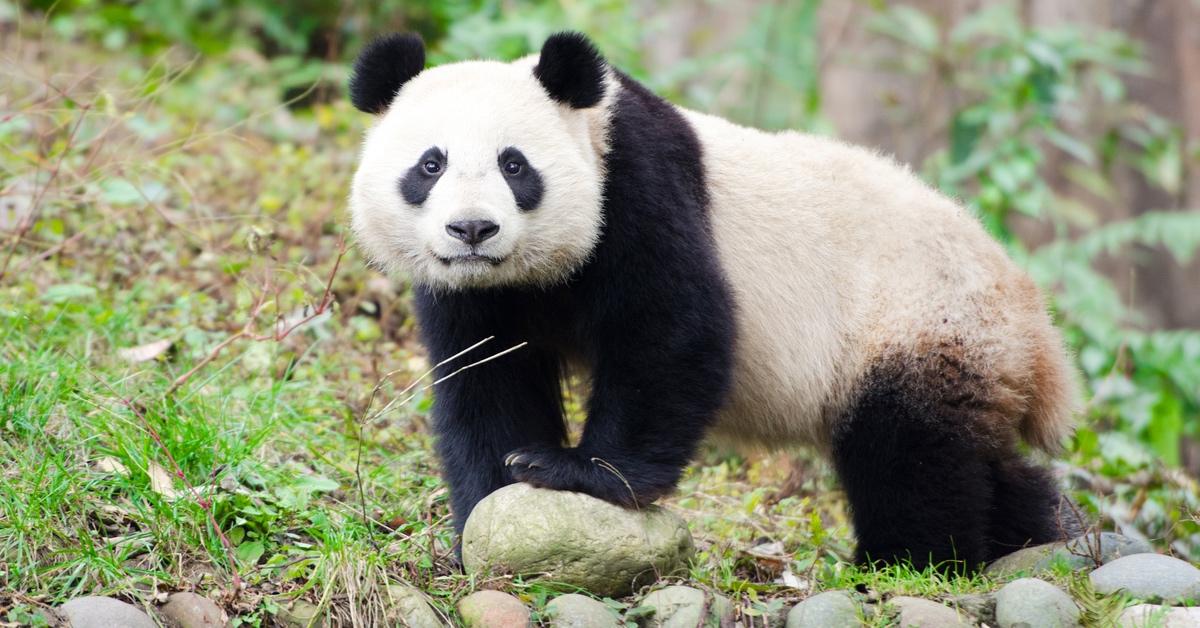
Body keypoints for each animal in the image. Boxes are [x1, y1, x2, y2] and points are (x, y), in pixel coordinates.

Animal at [345, 31, 1080, 571]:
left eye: (514, 165)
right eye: (431, 164)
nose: (472, 229)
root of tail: (1036, 326)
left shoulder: (639, 185)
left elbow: (671, 330)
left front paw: (574, 472)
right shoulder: (475, 290)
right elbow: (487, 374)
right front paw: (490, 505)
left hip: (919, 319)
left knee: (909, 451)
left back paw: (909, 557)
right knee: (980, 460)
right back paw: (1034, 529)